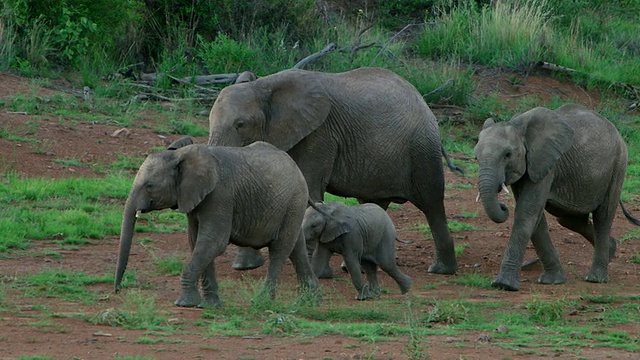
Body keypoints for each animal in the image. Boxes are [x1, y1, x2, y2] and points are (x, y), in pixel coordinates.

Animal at [114, 140, 318, 306]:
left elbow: (214, 242)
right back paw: (309, 300)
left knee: (280, 249)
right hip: (291, 206)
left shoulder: (220, 196)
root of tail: (296, 167)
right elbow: (197, 242)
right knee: (296, 246)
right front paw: (211, 305)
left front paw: (184, 303)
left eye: (149, 186)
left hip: (294, 200)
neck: (179, 155)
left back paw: (263, 301)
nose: (117, 290)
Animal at [208, 66, 458, 278]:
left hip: (422, 148)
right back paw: (354, 266)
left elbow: (310, 188)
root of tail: (422, 100)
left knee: (431, 203)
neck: (264, 85)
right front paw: (245, 266)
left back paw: (440, 270)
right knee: (373, 204)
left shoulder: (320, 135)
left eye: (240, 124)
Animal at [476, 102, 640, 292]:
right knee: (569, 219)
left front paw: (503, 285)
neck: (519, 127)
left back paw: (596, 278)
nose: (503, 207)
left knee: (603, 217)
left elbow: (527, 212)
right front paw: (553, 281)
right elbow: (536, 218)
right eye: (476, 157)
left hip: (618, 165)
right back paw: (611, 251)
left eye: (507, 154)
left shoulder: (546, 162)